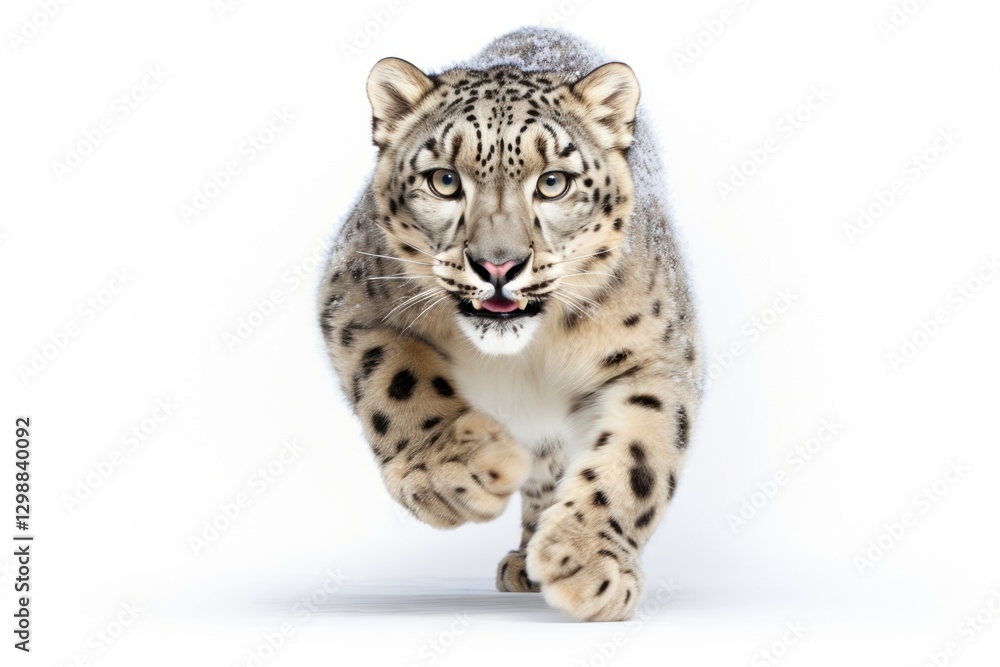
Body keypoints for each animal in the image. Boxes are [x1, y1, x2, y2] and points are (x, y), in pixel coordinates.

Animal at [318, 27, 702, 622]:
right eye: (444, 180)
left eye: (553, 183)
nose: (498, 266)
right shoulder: (353, 303)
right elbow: (396, 381)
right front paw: (456, 475)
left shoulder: (658, 358)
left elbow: (640, 454)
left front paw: (586, 562)